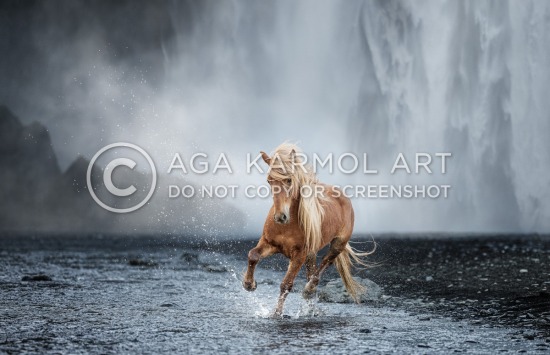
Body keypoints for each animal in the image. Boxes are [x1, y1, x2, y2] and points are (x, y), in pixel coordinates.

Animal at [244, 143, 374, 318]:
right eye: (269, 180)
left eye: (289, 179)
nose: (280, 217)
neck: (288, 225)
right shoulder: (269, 243)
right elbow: (253, 255)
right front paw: (249, 284)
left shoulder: (299, 255)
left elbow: (286, 284)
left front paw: (276, 314)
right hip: (311, 254)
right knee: (311, 273)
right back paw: (310, 308)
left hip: (336, 245)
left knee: (322, 267)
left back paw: (308, 291)